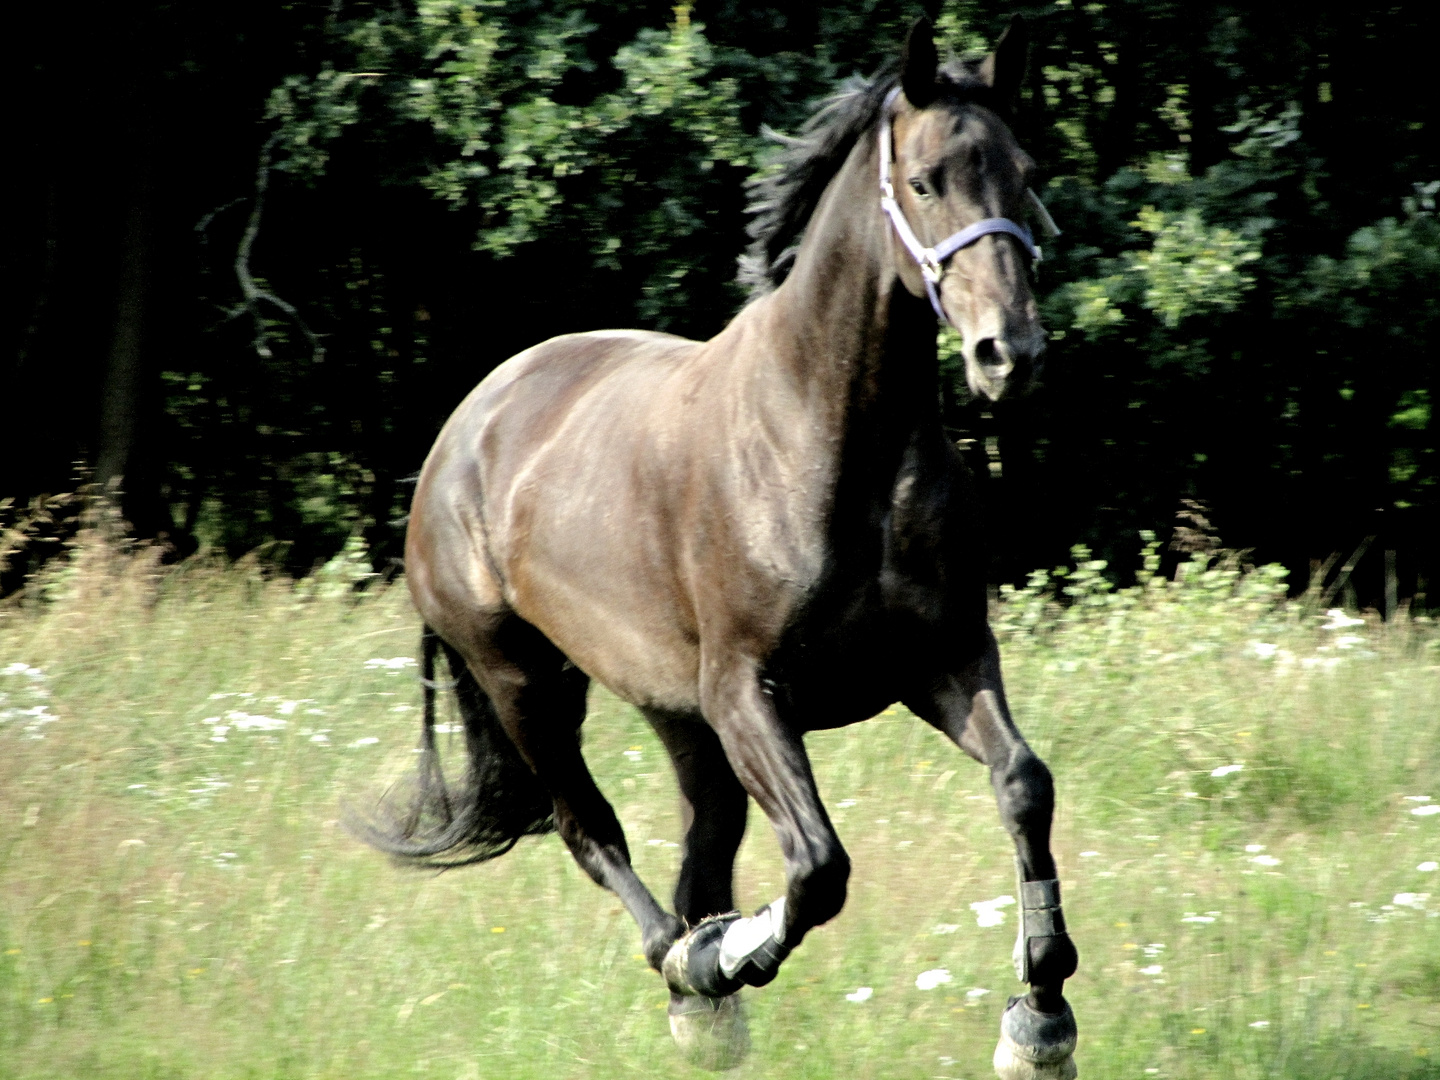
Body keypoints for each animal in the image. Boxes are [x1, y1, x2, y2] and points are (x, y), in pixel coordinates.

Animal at [371, 16, 1082, 1080]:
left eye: (1026, 173)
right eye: (925, 181)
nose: (1011, 353)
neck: (832, 440)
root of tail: (464, 430)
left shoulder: (945, 662)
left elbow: (1024, 788)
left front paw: (1041, 1017)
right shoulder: (749, 689)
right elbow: (820, 866)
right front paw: (728, 957)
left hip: (679, 717)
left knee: (699, 852)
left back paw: (704, 1003)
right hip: (527, 684)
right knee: (594, 836)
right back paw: (690, 968)